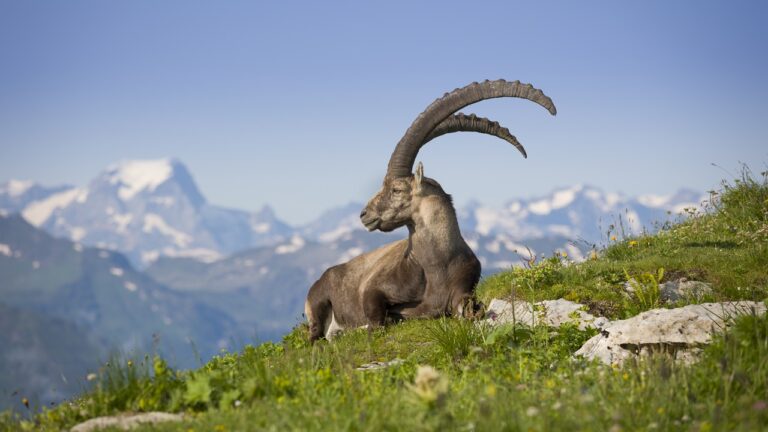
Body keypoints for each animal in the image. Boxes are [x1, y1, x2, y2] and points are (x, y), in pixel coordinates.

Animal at [305, 80, 556, 341]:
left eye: (396, 189)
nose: (364, 215)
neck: (436, 266)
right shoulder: (374, 289)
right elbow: (377, 318)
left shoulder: (464, 288)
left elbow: (468, 309)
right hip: (317, 303)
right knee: (315, 336)